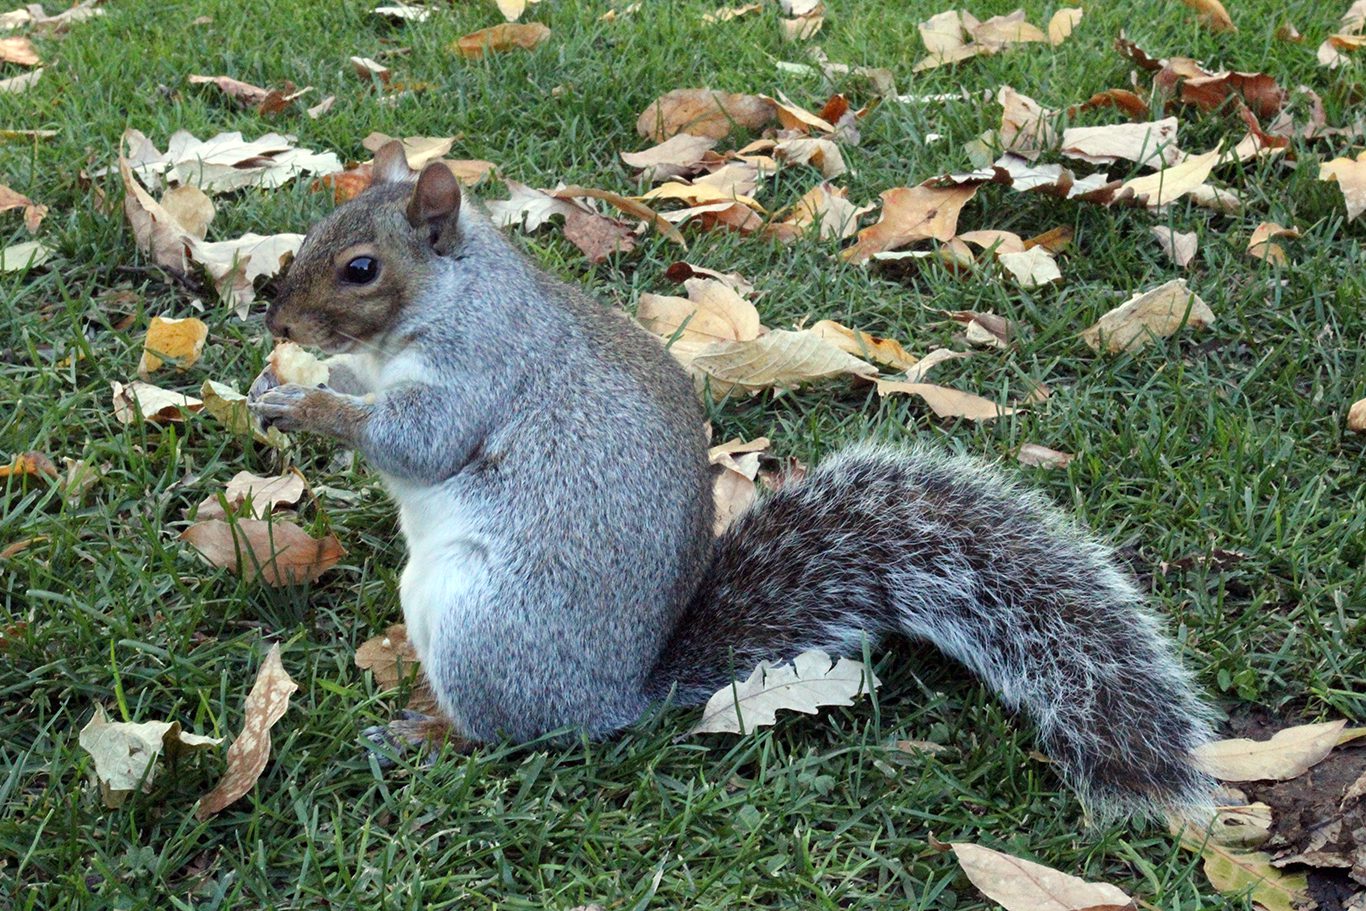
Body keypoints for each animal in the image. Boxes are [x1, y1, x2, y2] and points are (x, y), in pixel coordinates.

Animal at [247, 140, 1219, 820]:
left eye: (362, 268)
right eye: (314, 234)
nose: (277, 320)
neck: (436, 308)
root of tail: (615, 699)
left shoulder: (480, 369)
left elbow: (417, 443)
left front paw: (306, 405)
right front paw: (271, 383)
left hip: (482, 626)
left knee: (502, 735)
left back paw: (426, 731)